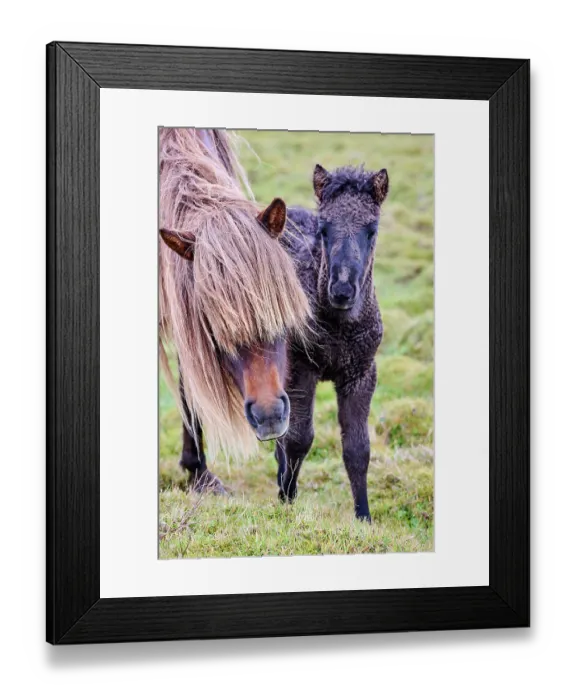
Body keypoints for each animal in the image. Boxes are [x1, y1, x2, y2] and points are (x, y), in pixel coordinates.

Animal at [276, 164, 389, 521]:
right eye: (324, 229)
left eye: (372, 230)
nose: (341, 291)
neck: (340, 329)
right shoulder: (301, 367)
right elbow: (299, 438)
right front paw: (287, 499)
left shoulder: (361, 374)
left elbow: (357, 448)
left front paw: (364, 516)